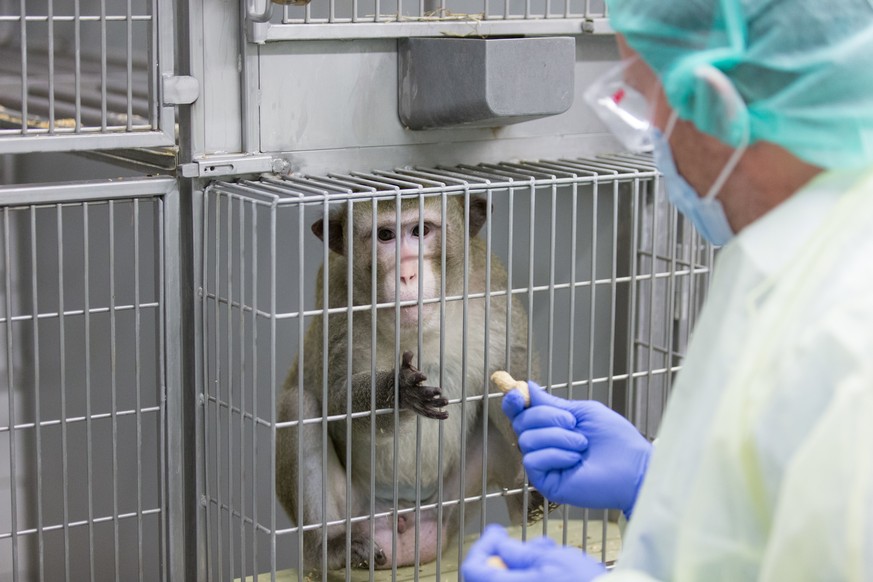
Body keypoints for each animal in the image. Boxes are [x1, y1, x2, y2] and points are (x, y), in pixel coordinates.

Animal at [276, 194, 540, 572]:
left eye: (421, 230)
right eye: (385, 235)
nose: (406, 273)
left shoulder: (494, 289)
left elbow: (512, 374)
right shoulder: (338, 299)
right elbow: (337, 403)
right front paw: (396, 393)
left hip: (452, 505)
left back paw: (526, 500)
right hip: (356, 511)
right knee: (298, 406)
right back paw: (331, 548)